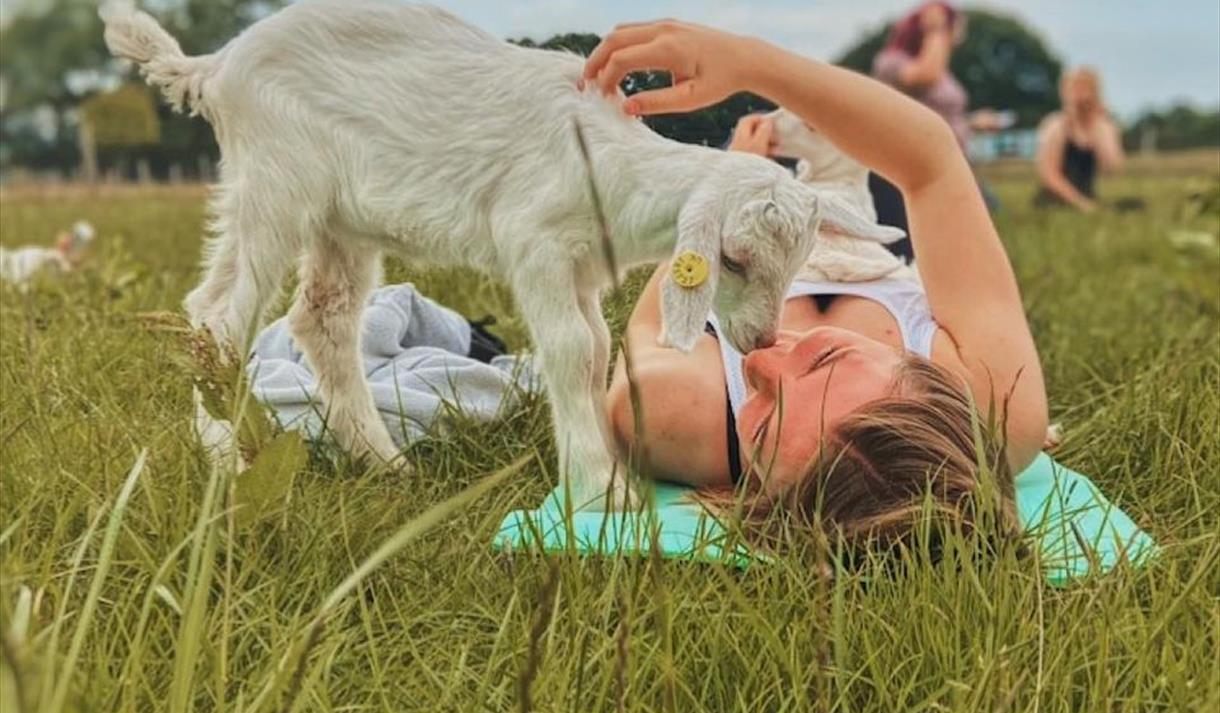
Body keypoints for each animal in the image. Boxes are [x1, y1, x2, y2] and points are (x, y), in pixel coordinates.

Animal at [104, 0, 902, 507]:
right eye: (731, 259)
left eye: (798, 263)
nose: (762, 339)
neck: (609, 166)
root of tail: (215, 66)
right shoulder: (536, 244)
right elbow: (574, 349)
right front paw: (599, 486)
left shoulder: (580, 267)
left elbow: (599, 346)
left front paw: (603, 466)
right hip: (274, 180)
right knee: (217, 315)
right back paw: (226, 458)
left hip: (340, 219)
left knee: (321, 322)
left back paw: (384, 464)